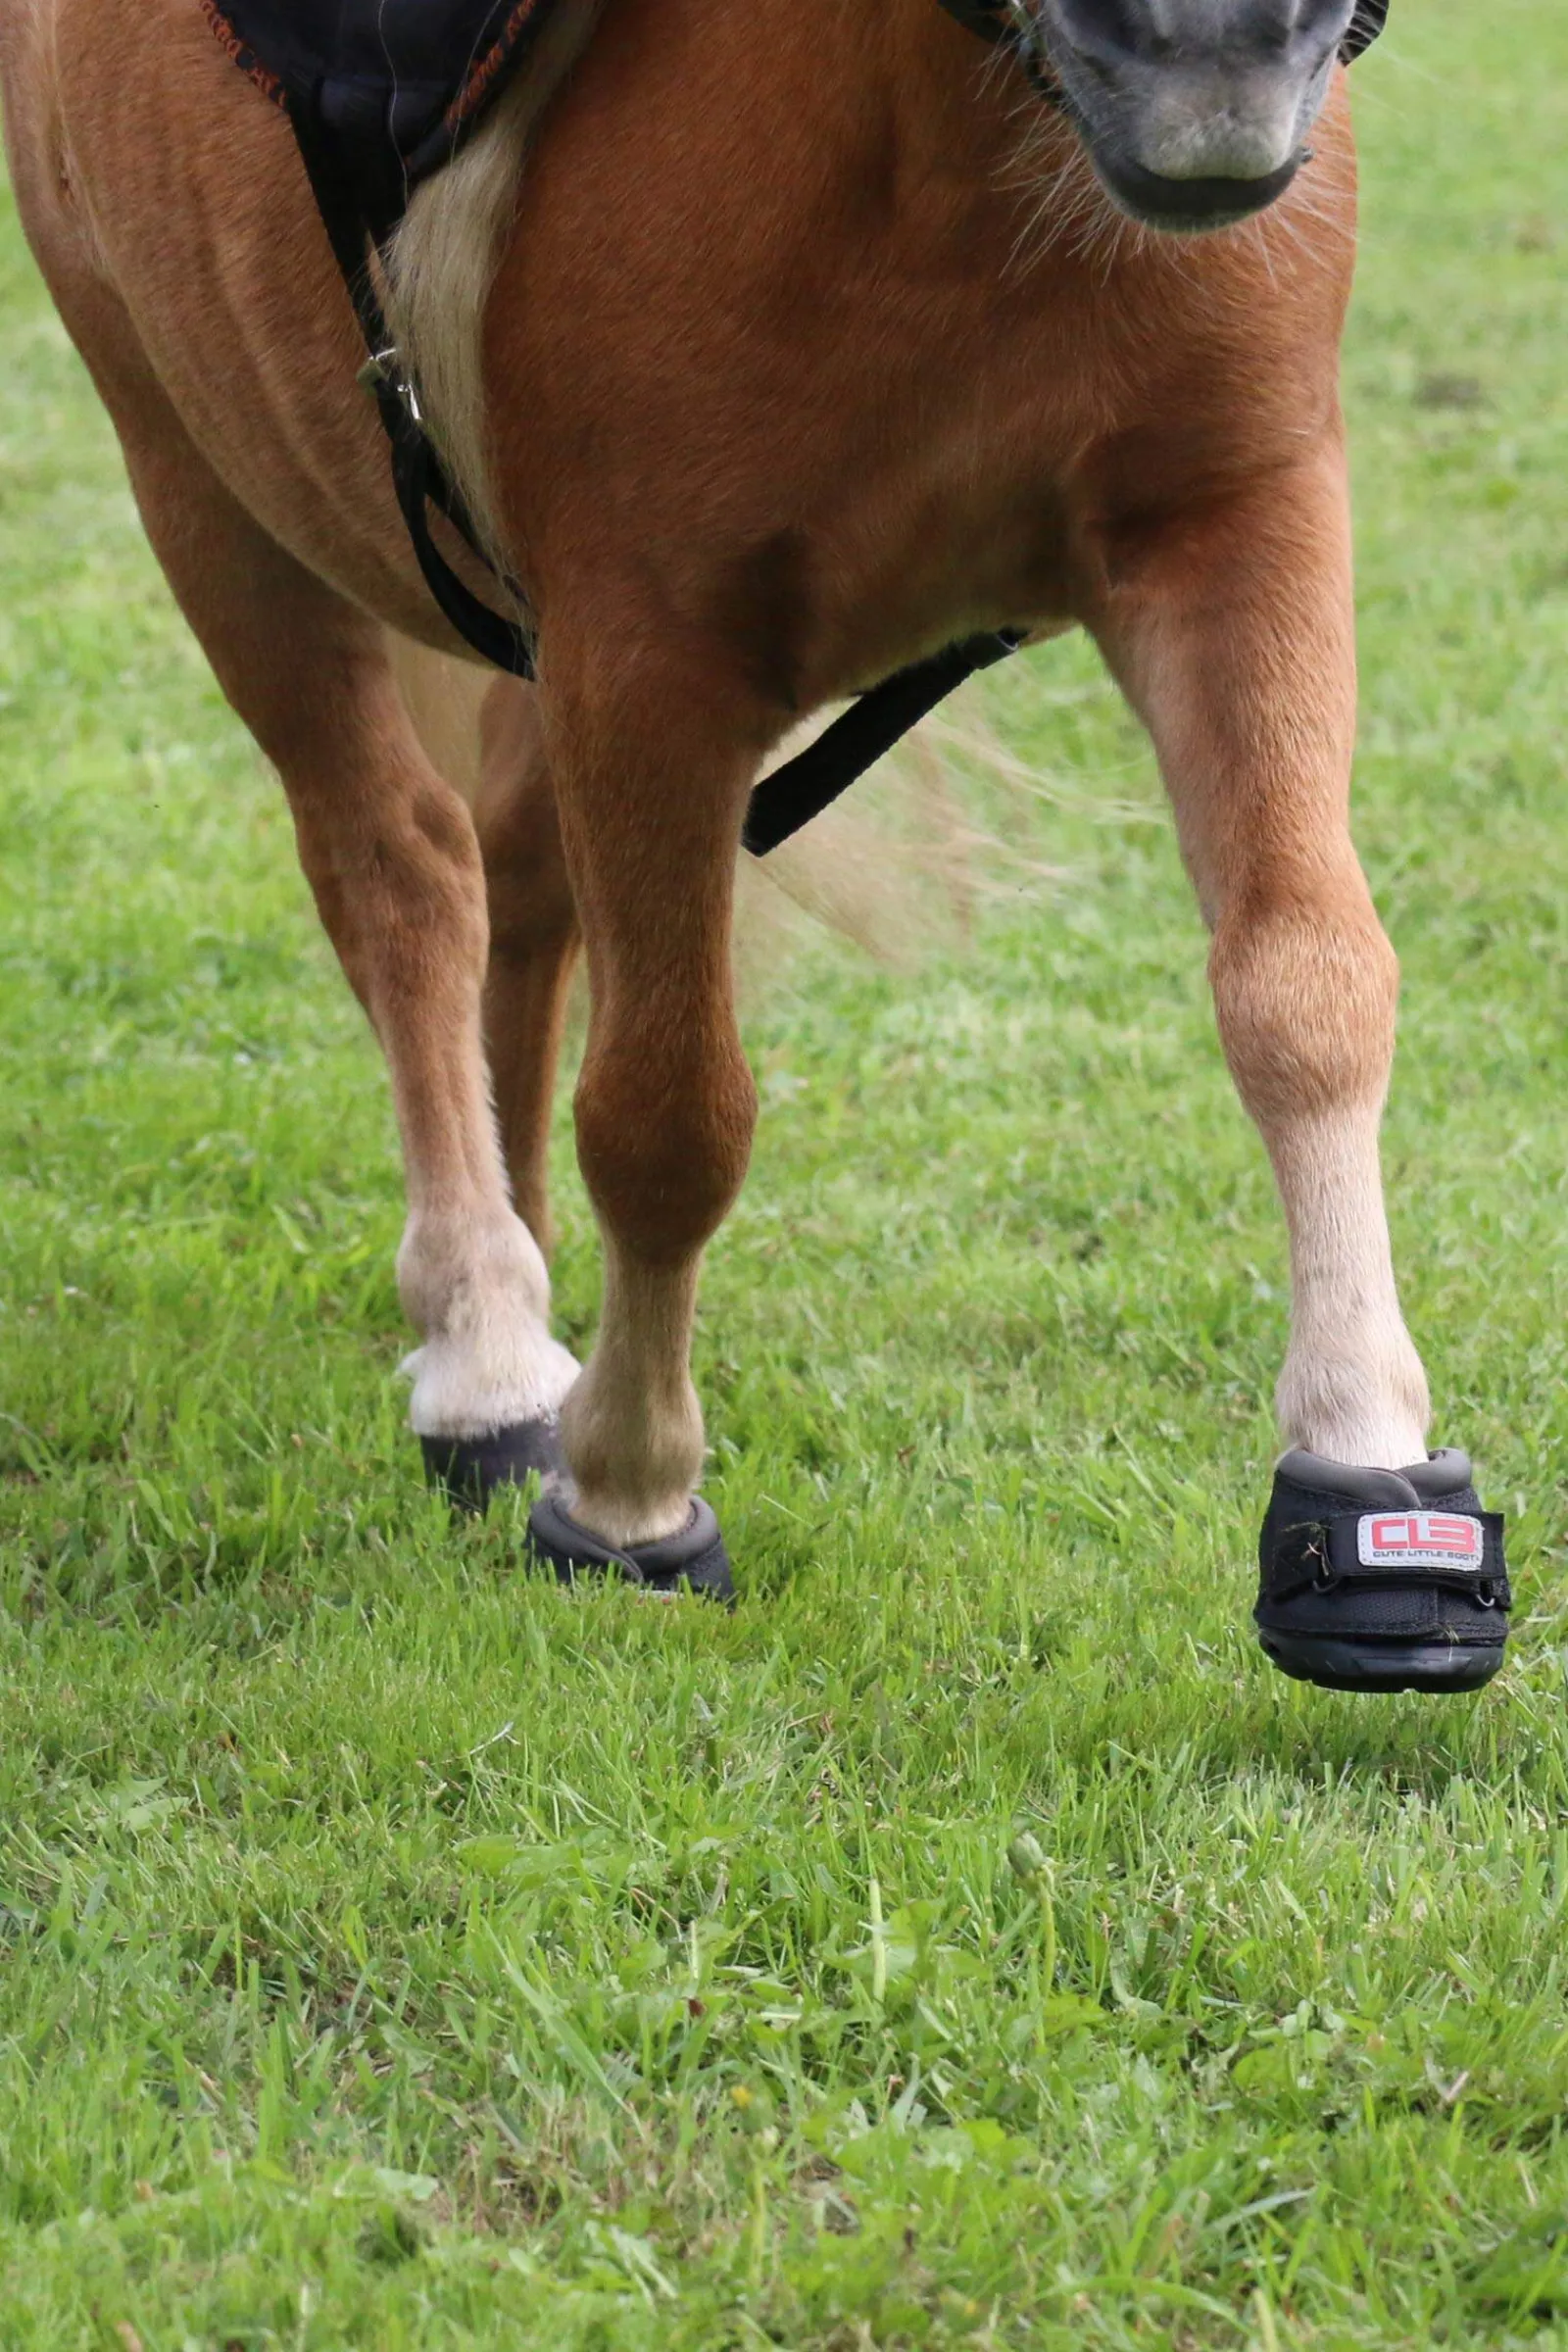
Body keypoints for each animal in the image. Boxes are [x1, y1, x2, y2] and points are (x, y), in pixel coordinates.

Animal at [0, 0, 1510, 1690]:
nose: (1219, 45)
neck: (943, 145)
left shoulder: (1234, 524)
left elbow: (1306, 990)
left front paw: (1368, 1468)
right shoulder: (645, 654)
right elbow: (669, 1117)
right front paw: (632, 1498)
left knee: (519, 890)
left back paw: (529, 1281)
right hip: (206, 499)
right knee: (402, 879)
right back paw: (484, 1335)